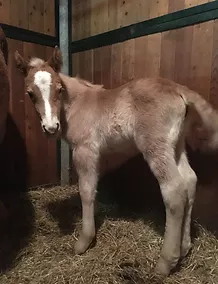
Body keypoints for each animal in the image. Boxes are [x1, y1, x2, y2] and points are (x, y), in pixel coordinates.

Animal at [14, 46, 218, 278]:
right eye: (30, 94)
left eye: (59, 89)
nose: (50, 127)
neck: (77, 103)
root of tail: (177, 88)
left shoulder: (85, 149)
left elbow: (86, 190)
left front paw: (83, 242)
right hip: (176, 145)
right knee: (190, 181)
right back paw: (184, 248)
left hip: (156, 146)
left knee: (174, 190)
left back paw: (165, 263)